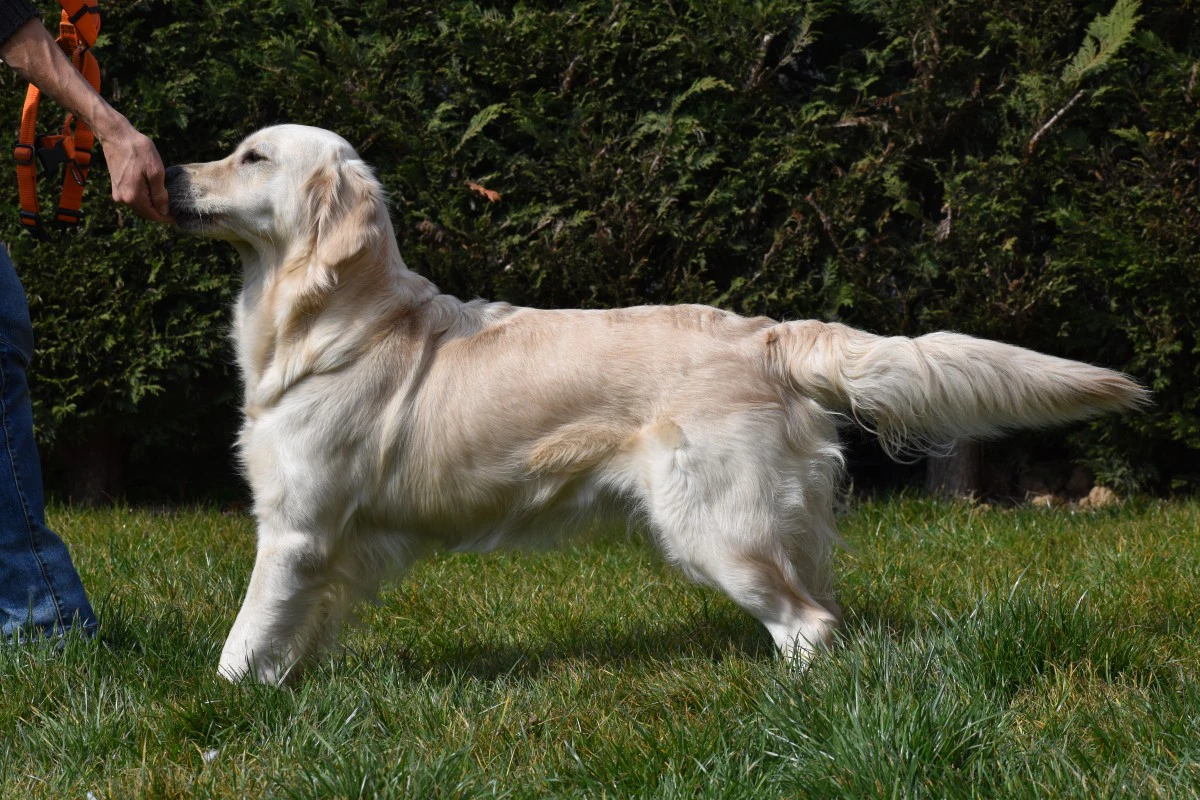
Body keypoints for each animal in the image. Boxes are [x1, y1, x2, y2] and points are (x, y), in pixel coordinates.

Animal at [166, 126, 1142, 690]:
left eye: (251, 157)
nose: (168, 173)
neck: (331, 317)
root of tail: (765, 332)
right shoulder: (330, 544)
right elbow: (290, 635)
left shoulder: (296, 529)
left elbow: (244, 636)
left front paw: (223, 704)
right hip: (779, 522)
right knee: (823, 610)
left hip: (713, 523)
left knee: (809, 627)